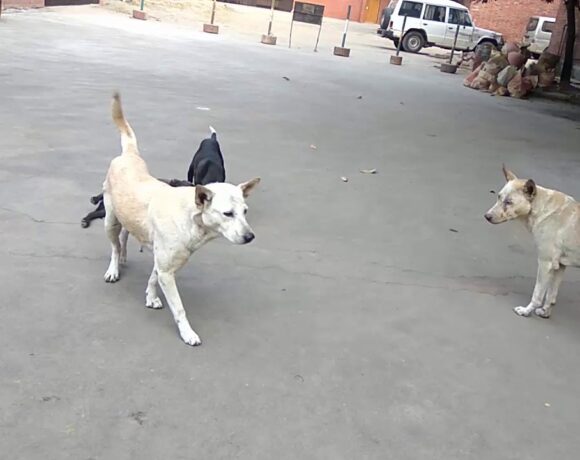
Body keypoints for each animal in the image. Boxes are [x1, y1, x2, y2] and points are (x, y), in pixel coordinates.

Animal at [102, 93, 260, 346]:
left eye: (245, 211)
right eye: (228, 213)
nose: (250, 237)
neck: (189, 218)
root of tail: (129, 155)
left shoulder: (164, 262)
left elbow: (153, 277)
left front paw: (150, 296)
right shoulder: (167, 269)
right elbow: (178, 308)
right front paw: (188, 333)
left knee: (125, 235)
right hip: (110, 219)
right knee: (114, 246)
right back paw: (114, 269)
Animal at [485, 165, 580, 318]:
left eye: (509, 202)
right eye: (498, 197)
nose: (487, 216)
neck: (540, 206)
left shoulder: (545, 263)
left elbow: (538, 295)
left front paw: (526, 311)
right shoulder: (560, 266)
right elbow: (551, 294)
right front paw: (546, 312)